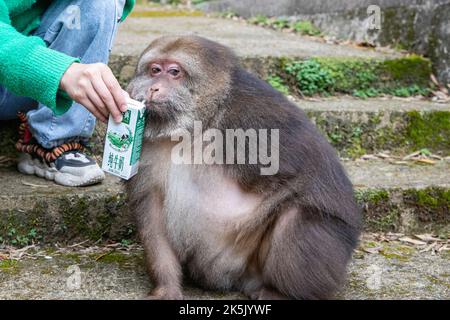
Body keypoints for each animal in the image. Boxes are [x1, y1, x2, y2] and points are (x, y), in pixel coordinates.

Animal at [125, 35, 362, 300]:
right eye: (155, 70)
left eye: (174, 72)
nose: (153, 87)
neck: (196, 125)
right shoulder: (145, 142)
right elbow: (151, 206)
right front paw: (166, 287)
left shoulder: (253, 119)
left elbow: (311, 173)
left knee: (295, 216)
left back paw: (281, 293)